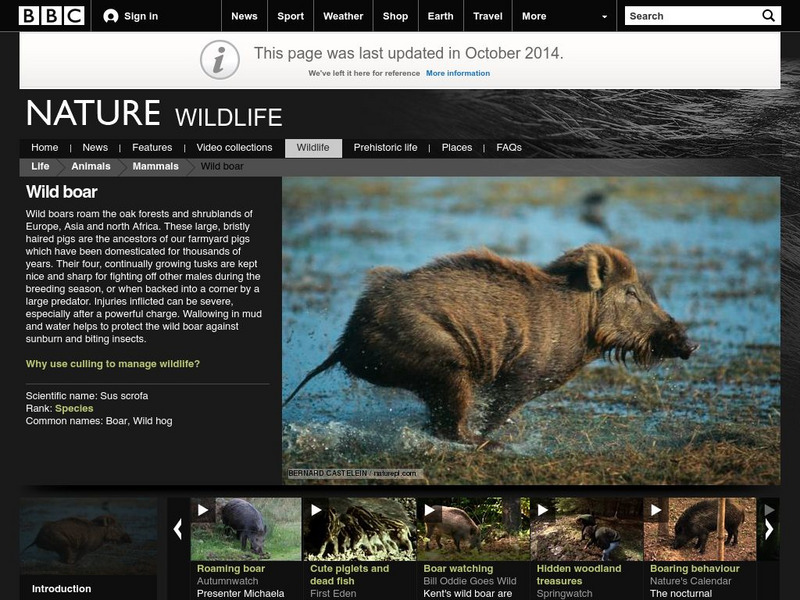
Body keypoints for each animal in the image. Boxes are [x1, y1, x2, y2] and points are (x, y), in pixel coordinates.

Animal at [284, 244, 697, 444]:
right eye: (631, 292)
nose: (690, 344)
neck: (581, 324)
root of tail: (346, 341)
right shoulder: (523, 376)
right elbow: (495, 411)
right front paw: (497, 439)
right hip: (447, 368)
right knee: (448, 427)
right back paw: (486, 445)